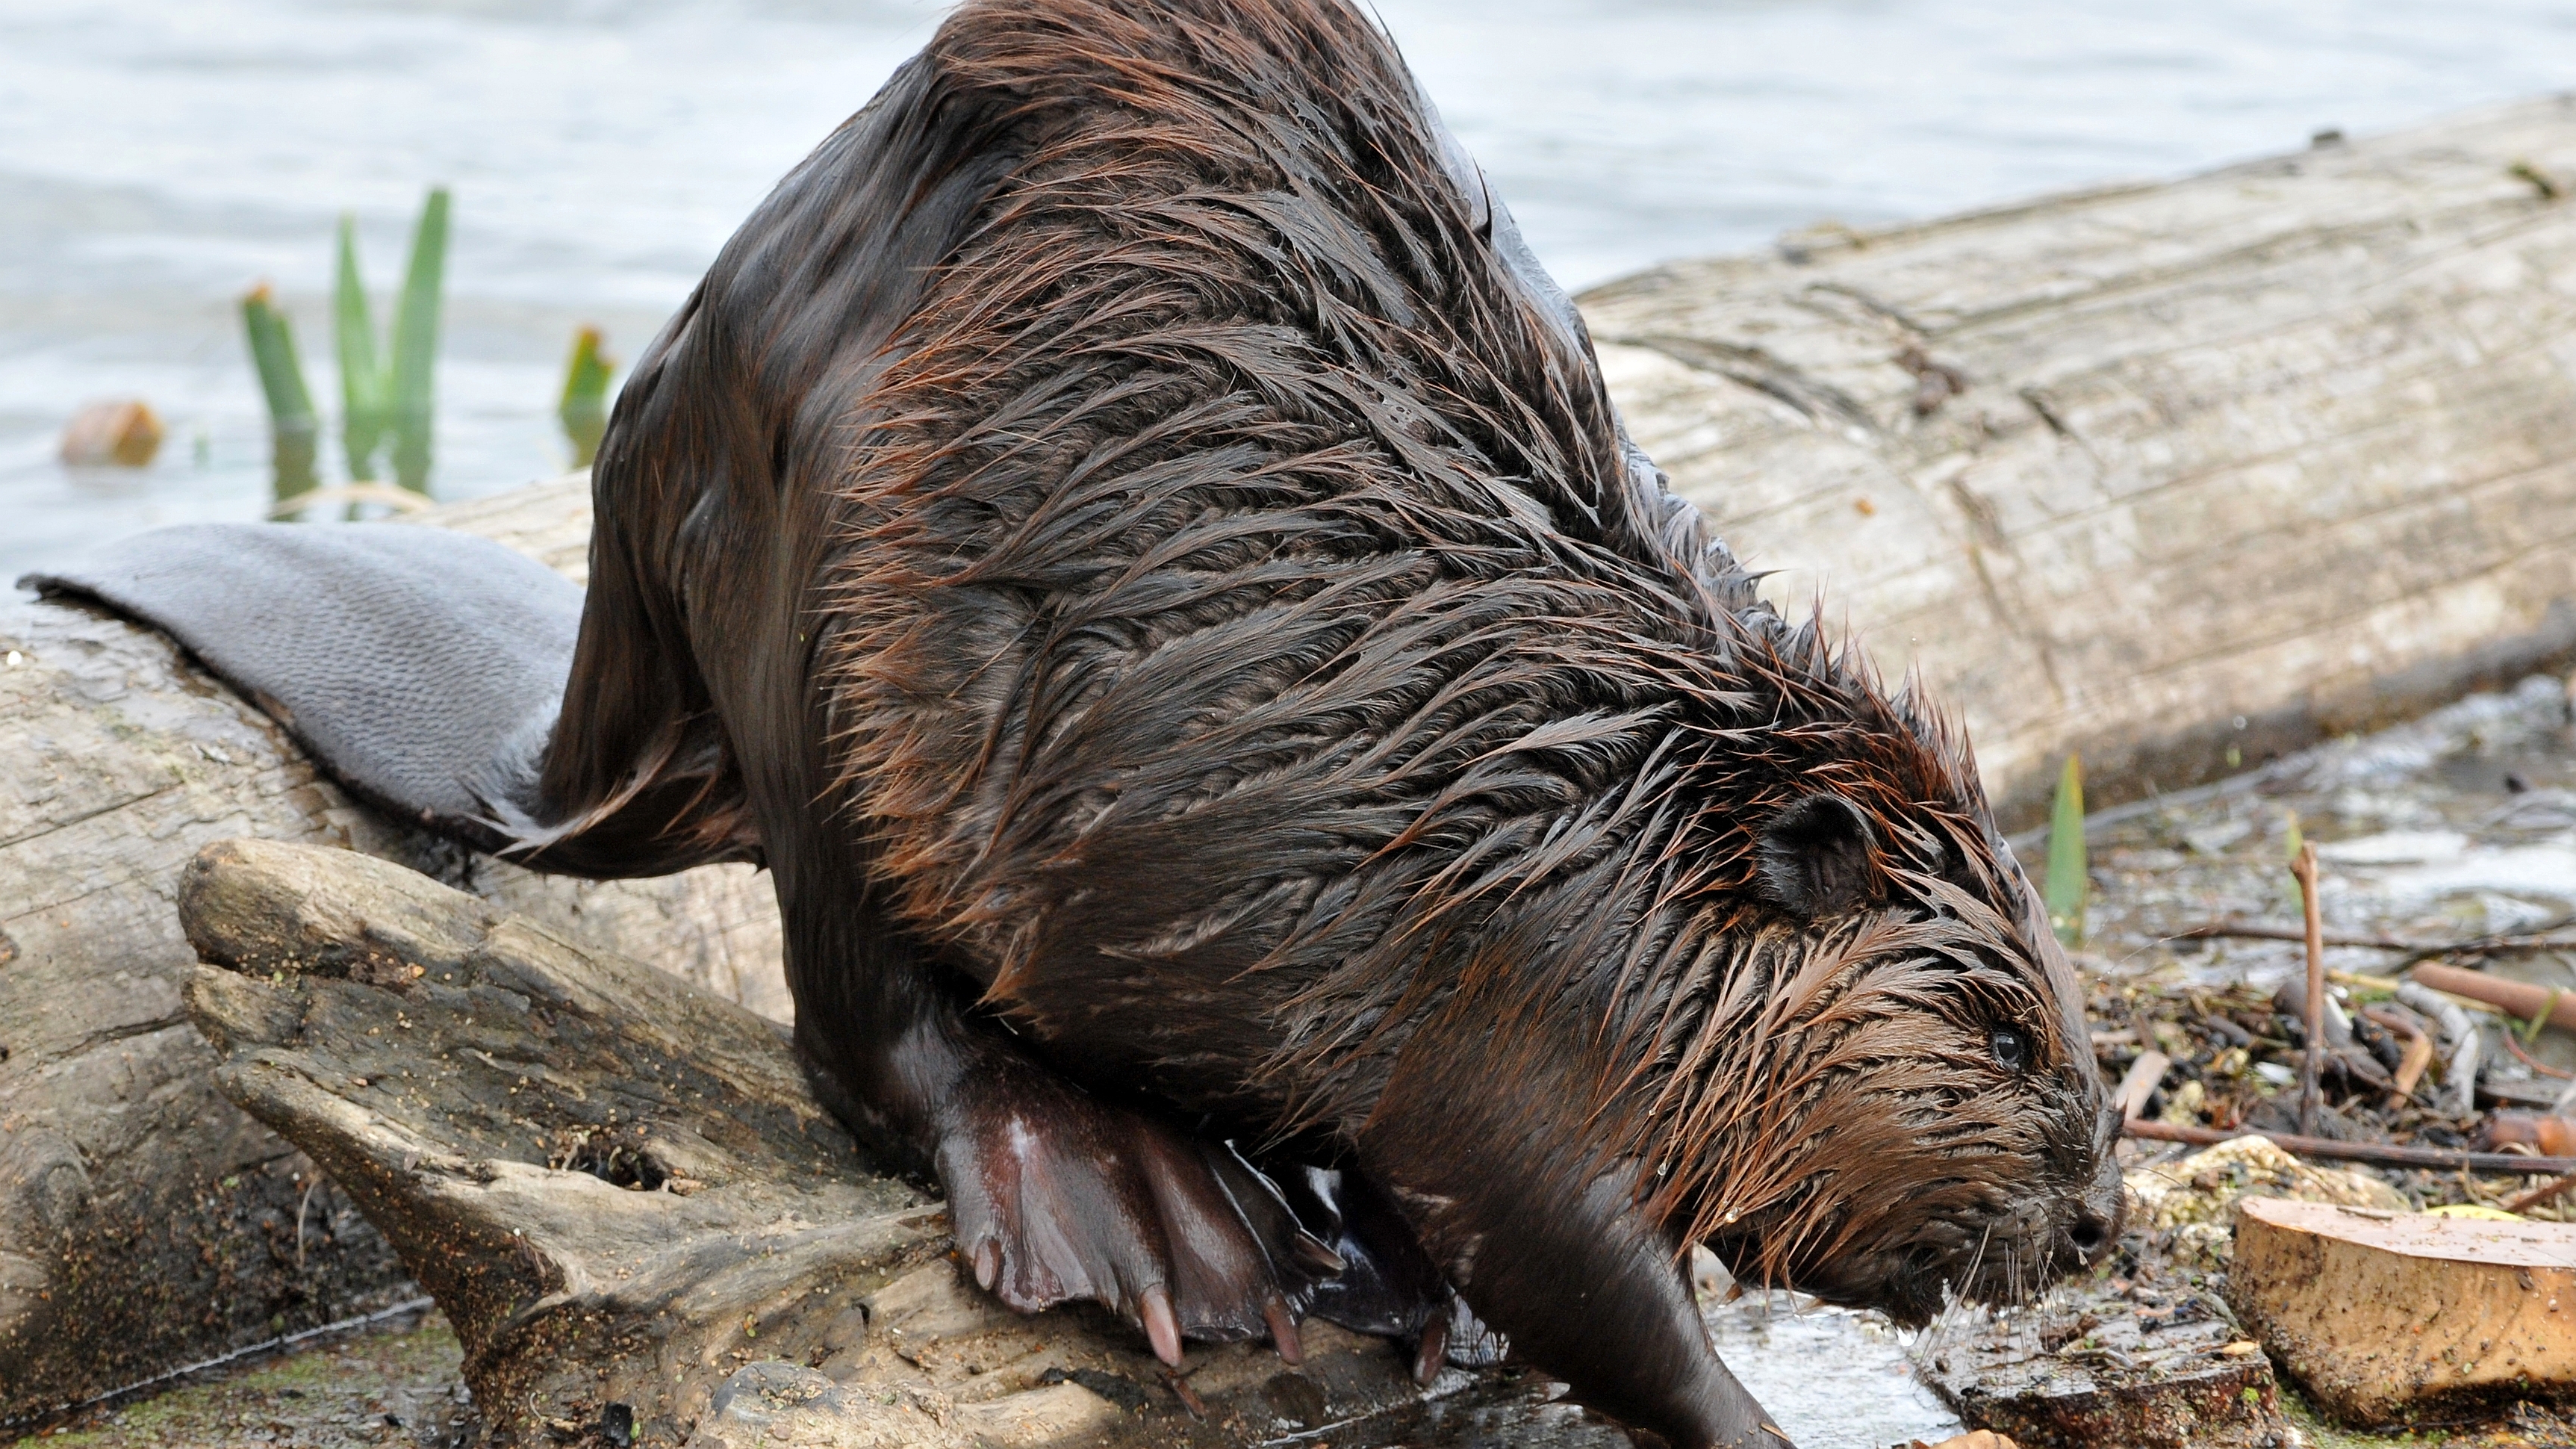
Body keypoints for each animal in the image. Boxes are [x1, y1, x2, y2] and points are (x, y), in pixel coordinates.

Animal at [30, 0, 2112, 1433]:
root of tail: (568, 716)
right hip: (819, 614)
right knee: (869, 1020)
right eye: (2005, 1033)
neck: (1599, 786)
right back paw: (1149, 1210)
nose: (2097, 1222)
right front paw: (1723, 1403)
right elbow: (1575, 1263)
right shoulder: (1505, 990)